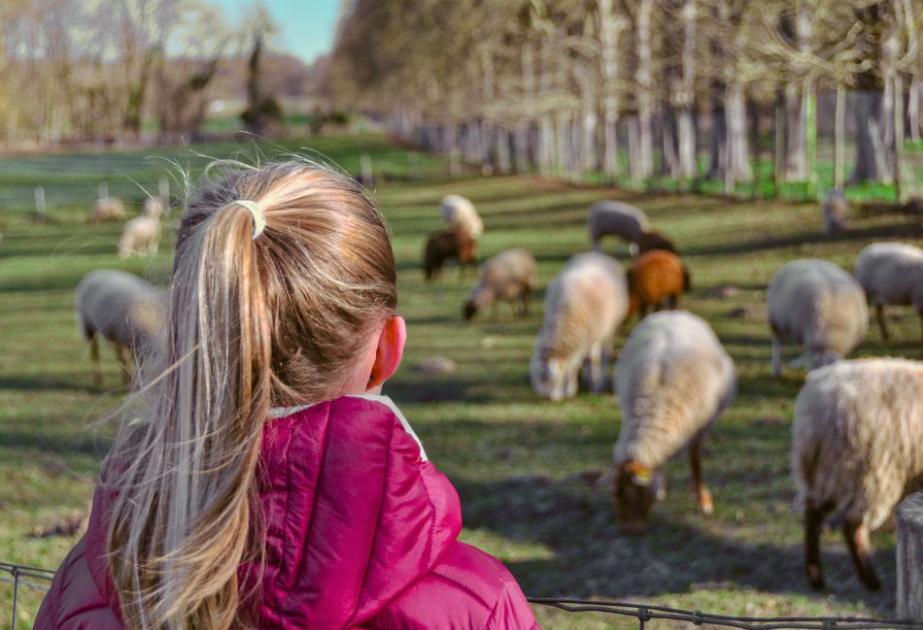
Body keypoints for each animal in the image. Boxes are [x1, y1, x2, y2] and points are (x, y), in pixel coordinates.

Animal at [532, 251, 632, 402]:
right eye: (537, 379)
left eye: (554, 379)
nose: (547, 398)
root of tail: (596, 254)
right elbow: (574, 364)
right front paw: (572, 388)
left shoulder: (594, 336)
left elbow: (594, 360)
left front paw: (594, 386)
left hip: (610, 329)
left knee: (606, 352)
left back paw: (602, 376)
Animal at [612, 312, 736, 532]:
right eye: (615, 496)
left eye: (634, 493)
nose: (630, 529)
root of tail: (672, 314)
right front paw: (660, 487)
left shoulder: (701, 426)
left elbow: (695, 459)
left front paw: (704, 502)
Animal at [792, 358, 923, 596]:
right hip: (869, 472)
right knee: (852, 525)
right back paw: (872, 581)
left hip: (826, 474)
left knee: (812, 516)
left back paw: (816, 578)